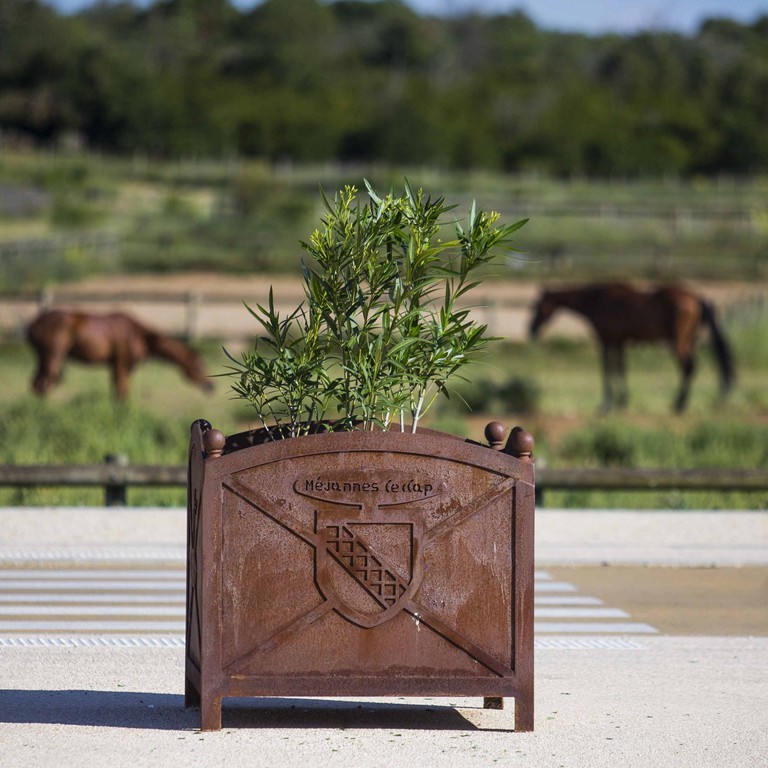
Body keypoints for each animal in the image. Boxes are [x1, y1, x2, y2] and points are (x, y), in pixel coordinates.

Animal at [27, 308, 213, 402]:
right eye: (199, 366)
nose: (211, 387)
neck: (138, 334)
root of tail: (32, 325)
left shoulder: (120, 367)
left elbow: (120, 391)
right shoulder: (121, 364)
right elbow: (122, 391)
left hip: (42, 358)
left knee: (36, 384)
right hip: (53, 357)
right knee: (44, 384)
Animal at [532, 284, 736, 414]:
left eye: (537, 307)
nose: (531, 329)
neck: (597, 301)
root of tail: (697, 298)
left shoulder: (606, 342)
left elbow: (607, 370)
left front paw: (606, 405)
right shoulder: (619, 342)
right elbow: (621, 369)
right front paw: (622, 402)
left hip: (677, 342)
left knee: (688, 367)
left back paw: (679, 404)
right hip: (689, 341)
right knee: (692, 366)